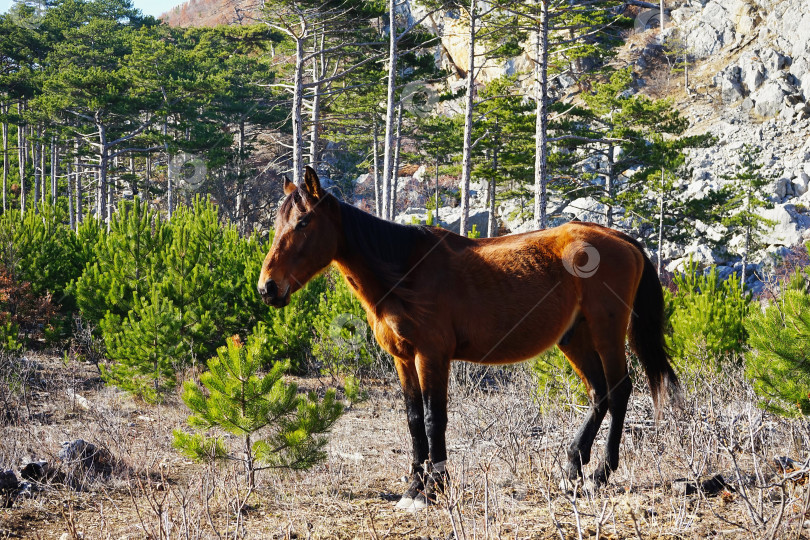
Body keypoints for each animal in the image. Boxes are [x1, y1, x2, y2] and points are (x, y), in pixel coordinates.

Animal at [258, 167, 676, 508]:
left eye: (303, 223)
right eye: (278, 224)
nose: (268, 288)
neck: (405, 271)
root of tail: (620, 237)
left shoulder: (432, 356)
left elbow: (434, 418)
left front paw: (432, 489)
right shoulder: (403, 358)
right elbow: (413, 419)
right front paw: (413, 487)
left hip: (607, 333)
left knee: (619, 389)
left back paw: (601, 474)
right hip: (575, 338)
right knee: (598, 392)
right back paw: (573, 468)